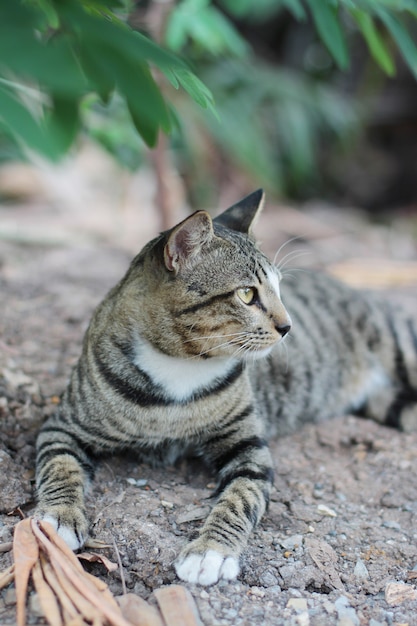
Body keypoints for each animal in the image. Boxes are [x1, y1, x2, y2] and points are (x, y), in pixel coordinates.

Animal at [35, 190, 416, 584]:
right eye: (247, 294)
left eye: (280, 288)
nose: (288, 327)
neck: (180, 365)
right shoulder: (64, 426)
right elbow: (59, 466)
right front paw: (59, 517)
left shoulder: (249, 448)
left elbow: (240, 497)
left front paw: (211, 551)